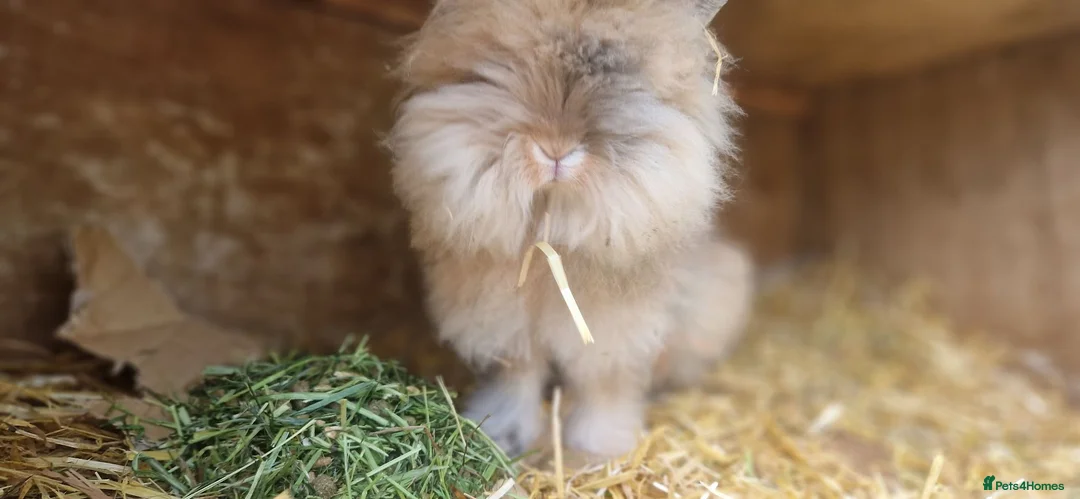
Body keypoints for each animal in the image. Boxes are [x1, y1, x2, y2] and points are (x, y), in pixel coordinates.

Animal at [385, 0, 752, 458]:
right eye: (502, 65)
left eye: (626, 80)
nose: (555, 151)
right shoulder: (507, 327)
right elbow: (518, 378)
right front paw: (502, 435)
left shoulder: (616, 333)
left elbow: (603, 385)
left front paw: (601, 447)